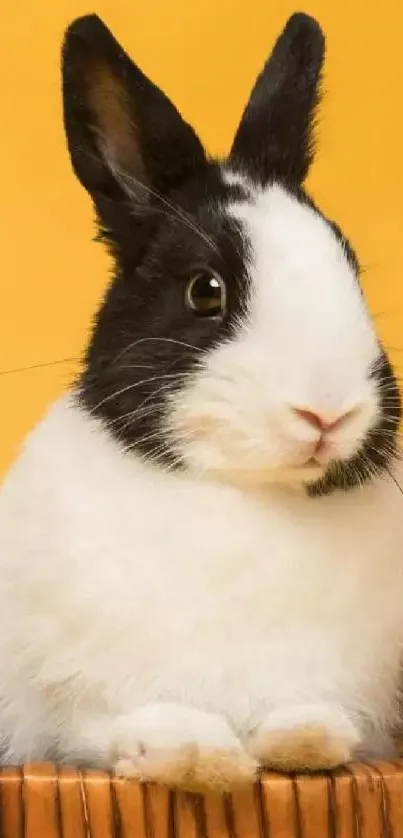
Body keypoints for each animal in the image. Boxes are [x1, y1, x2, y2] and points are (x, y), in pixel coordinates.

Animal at [0, 9, 403, 792]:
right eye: (205, 291)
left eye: (350, 268)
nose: (327, 412)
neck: (244, 495)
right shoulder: (71, 709)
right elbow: (118, 725)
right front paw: (198, 757)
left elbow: (307, 718)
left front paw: (306, 739)